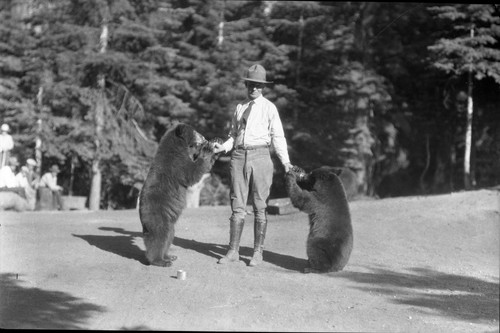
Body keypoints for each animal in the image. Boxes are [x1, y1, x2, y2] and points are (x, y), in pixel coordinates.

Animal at [139, 123, 221, 266]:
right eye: (196, 131)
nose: (204, 137)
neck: (180, 147)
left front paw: (216, 147)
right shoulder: (177, 164)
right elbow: (192, 172)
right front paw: (208, 150)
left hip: (168, 221)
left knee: (169, 236)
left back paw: (169, 256)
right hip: (158, 215)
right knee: (160, 236)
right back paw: (159, 260)